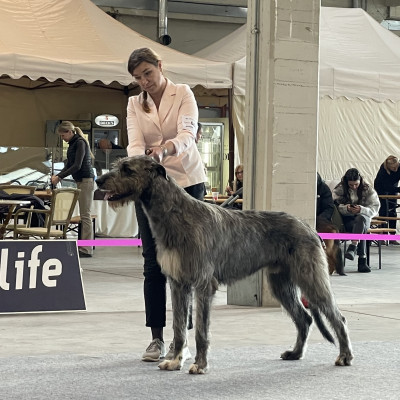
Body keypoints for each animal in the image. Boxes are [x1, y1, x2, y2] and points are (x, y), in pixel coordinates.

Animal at [97, 156, 354, 376]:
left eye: (127, 169)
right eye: (119, 165)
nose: (99, 181)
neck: (176, 214)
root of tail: (309, 227)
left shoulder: (203, 284)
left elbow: (201, 331)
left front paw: (200, 365)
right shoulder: (178, 283)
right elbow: (179, 327)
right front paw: (175, 361)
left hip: (310, 277)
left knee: (337, 317)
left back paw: (345, 356)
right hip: (280, 283)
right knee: (304, 318)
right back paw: (296, 353)